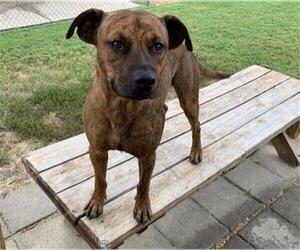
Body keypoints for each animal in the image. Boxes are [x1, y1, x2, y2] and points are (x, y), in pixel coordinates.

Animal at [66, 8, 230, 223]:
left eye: (158, 46)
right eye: (117, 44)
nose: (146, 81)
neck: (122, 108)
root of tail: (185, 47)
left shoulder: (147, 156)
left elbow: (144, 184)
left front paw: (142, 205)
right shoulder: (97, 150)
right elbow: (100, 180)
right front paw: (97, 201)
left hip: (188, 98)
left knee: (196, 126)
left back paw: (196, 151)